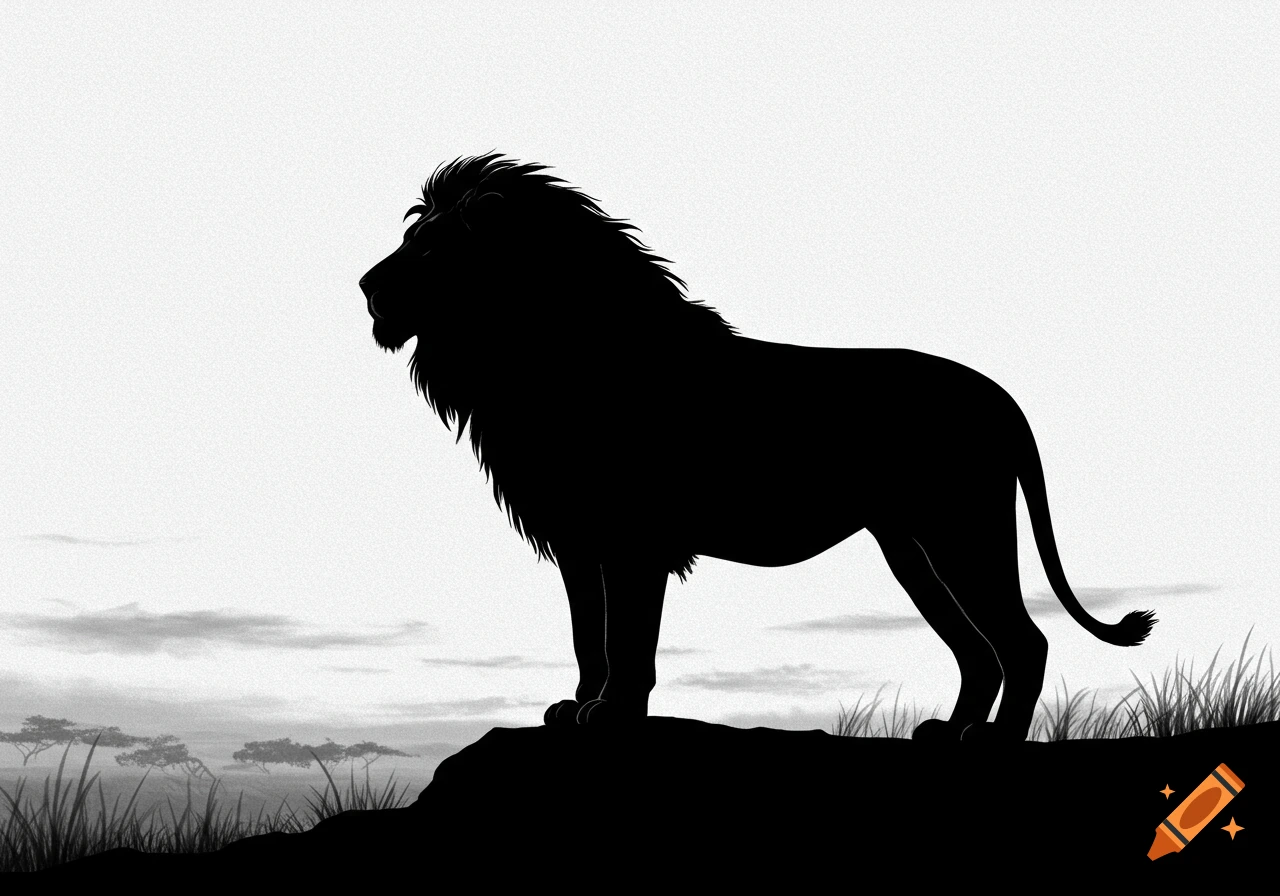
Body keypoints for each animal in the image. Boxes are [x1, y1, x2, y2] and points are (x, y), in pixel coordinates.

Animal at [360, 153, 1155, 741]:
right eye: (412, 236)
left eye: (431, 247)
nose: (365, 284)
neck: (535, 355)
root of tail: (997, 395)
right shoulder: (578, 538)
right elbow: (590, 632)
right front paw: (575, 706)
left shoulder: (633, 540)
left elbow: (628, 638)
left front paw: (614, 712)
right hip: (911, 547)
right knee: (978, 652)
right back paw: (949, 733)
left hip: (962, 526)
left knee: (1022, 644)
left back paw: (992, 744)